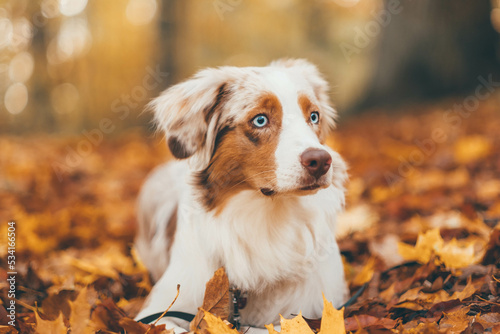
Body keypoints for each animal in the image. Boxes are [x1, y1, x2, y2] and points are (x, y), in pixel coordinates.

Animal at [135, 58, 350, 332]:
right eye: (260, 120)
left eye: (314, 116)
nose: (321, 161)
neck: (270, 218)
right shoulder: (155, 313)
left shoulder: (317, 308)